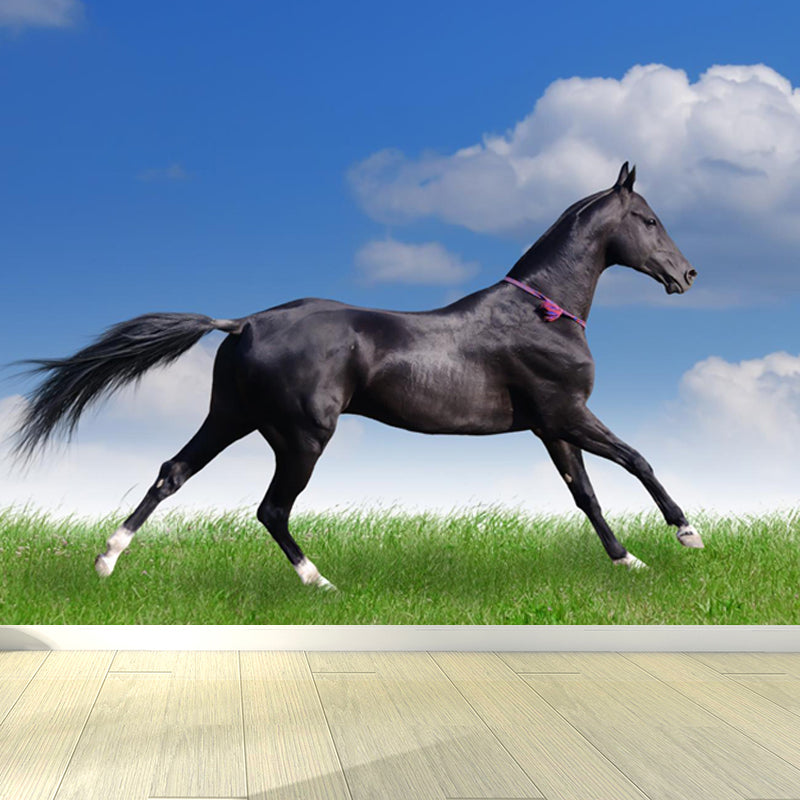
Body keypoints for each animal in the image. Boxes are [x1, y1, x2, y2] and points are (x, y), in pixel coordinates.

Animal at [13, 162, 702, 589]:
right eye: (648, 220)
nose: (687, 274)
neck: (542, 312)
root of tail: (242, 324)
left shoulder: (550, 426)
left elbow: (585, 495)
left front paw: (628, 561)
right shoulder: (567, 413)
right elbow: (637, 460)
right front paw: (687, 534)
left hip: (231, 418)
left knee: (171, 473)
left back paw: (106, 560)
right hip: (301, 437)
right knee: (270, 509)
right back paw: (319, 582)